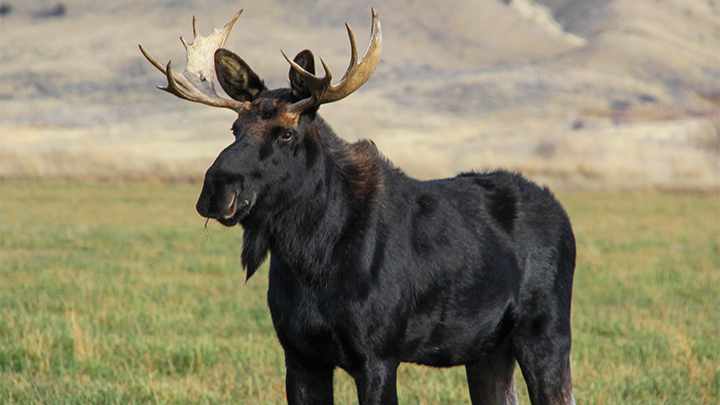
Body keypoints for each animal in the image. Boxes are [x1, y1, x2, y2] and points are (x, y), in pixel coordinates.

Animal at [141, 8, 576, 404]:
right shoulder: (300, 356)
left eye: (286, 134)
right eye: (234, 129)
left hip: (547, 333)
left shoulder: (378, 356)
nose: (216, 190)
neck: (308, 257)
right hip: (488, 350)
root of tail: (562, 214)